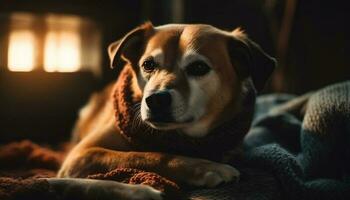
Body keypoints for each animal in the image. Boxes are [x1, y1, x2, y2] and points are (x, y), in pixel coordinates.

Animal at [52, 22, 276, 200]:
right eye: (148, 64)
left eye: (199, 67)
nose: (156, 100)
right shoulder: (81, 155)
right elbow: (144, 156)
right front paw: (206, 167)